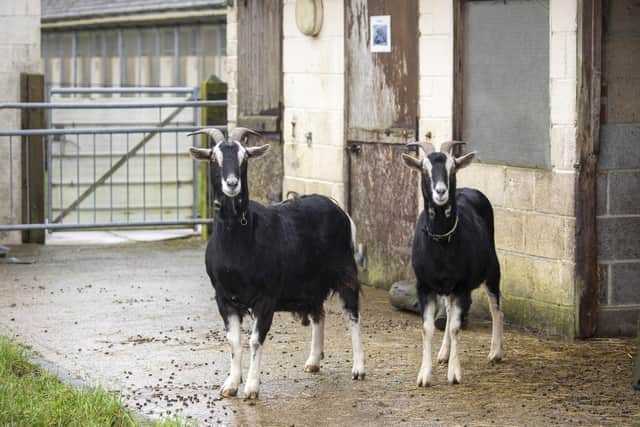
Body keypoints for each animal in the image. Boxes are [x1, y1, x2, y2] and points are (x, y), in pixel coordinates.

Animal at [188, 127, 365, 399]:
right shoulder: (224, 298)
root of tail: (337, 208)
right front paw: (231, 384)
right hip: (310, 283)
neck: (238, 241)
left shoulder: (266, 297)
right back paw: (314, 361)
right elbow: (234, 340)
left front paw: (251, 388)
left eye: (244, 158)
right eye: (214, 158)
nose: (232, 184)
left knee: (353, 315)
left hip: (344, 272)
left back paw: (358, 368)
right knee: (319, 314)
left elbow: (255, 340)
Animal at [401, 141, 504, 386]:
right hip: (447, 288)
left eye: (453, 168)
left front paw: (454, 374)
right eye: (424, 169)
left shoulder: (462, 286)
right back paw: (443, 353)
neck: (441, 244)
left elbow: (457, 327)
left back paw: (495, 352)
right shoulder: (424, 286)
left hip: (492, 269)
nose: (441, 192)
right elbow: (428, 328)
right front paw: (424, 375)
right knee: (448, 313)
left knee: (496, 307)